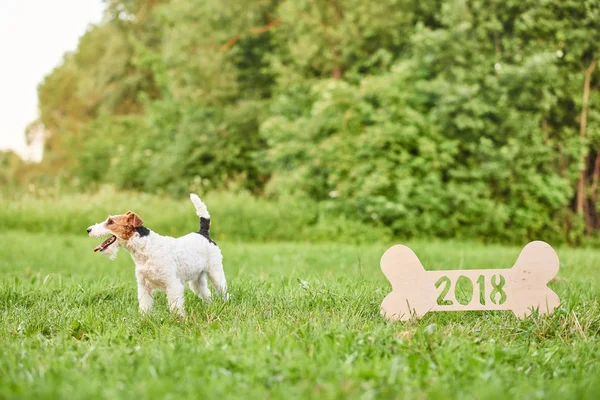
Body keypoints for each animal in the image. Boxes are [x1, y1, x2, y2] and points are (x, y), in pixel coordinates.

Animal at [88, 195, 229, 318]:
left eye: (111, 222)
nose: (88, 230)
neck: (145, 248)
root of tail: (203, 233)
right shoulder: (143, 286)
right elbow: (144, 306)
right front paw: (144, 319)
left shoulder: (172, 284)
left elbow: (175, 306)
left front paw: (178, 320)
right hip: (197, 280)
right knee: (207, 294)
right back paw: (210, 307)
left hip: (215, 273)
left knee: (224, 293)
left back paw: (225, 306)